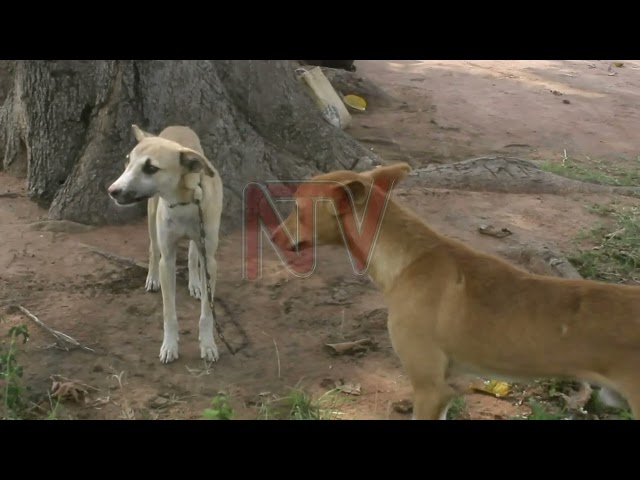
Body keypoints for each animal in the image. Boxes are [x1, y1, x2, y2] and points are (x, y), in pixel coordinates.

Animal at [106, 124, 224, 364]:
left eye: (151, 168)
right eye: (127, 161)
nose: (112, 191)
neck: (184, 201)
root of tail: (176, 126)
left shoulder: (210, 259)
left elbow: (207, 313)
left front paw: (208, 345)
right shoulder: (167, 260)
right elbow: (169, 312)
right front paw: (169, 346)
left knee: (192, 256)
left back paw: (195, 284)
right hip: (152, 218)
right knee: (153, 249)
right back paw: (152, 278)